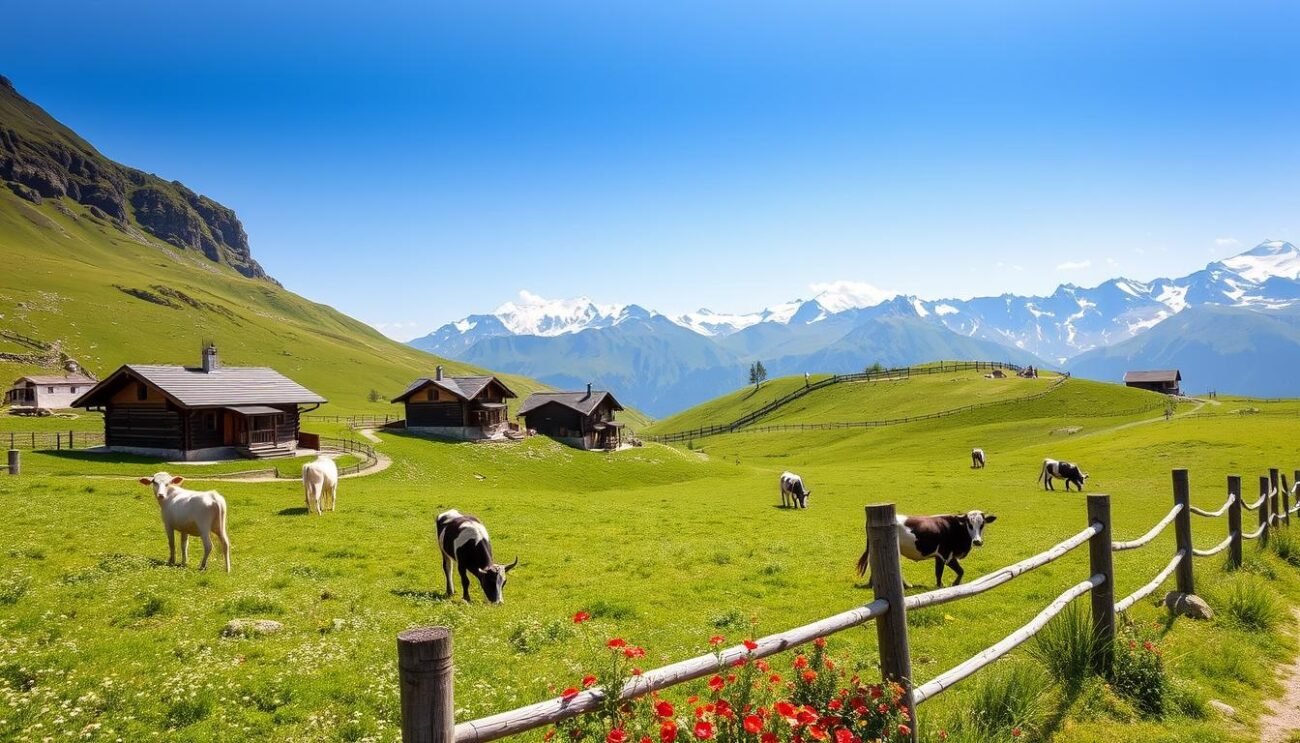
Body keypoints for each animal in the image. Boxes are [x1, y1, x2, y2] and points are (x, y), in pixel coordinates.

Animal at [857, 511, 998, 587]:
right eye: (969, 524)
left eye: (982, 524)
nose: (977, 541)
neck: (955, 528)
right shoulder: (945, 554)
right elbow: (952, 571)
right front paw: (947, 585)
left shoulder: (940, 556)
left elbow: (947, 571)